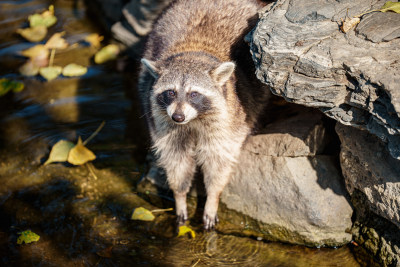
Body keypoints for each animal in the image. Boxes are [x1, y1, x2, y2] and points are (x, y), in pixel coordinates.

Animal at [139, 0, 270, 230]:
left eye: (194, 94)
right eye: (171, 92)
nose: (178, 117)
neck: (192, 51)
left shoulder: (230, 119)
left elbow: (219, 159)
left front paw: (213, 197)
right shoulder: (162, 120)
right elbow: (177, 159)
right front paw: (179, 196)